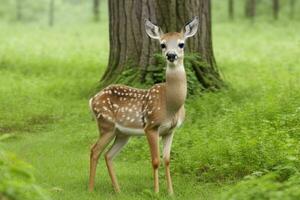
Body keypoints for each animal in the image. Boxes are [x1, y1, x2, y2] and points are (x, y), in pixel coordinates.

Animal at [88, 16, 198, 195]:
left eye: (181, 44)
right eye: (162, 44)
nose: (171, 55)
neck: (170, 104)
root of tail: (92, 99)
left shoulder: (170, 130)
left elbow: (167, 160)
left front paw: (171, 192)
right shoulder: (151, 126)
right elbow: (155, 160)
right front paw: (156, 192)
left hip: (122, 133)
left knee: (108, 155)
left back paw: (118, 190)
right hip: (106, 124)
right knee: (94, 150)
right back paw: (91, 189)